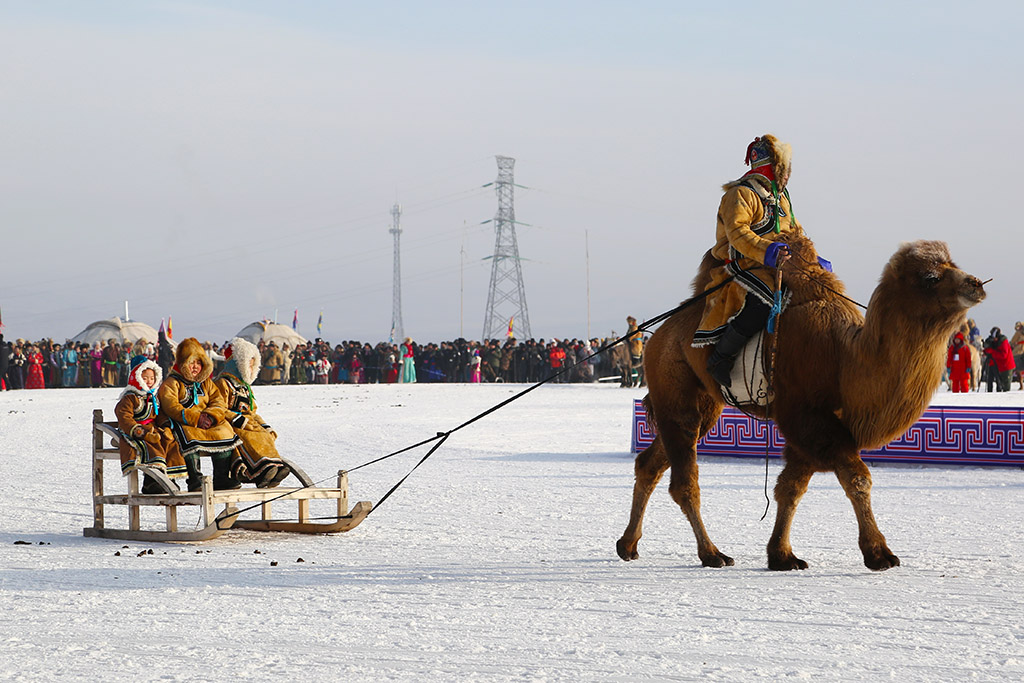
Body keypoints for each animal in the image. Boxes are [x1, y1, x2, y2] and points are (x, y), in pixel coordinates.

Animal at [610, 231, 987, 573]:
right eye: (930, 277)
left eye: (952, 264)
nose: (975, 283)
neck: (844, 359)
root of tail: (656, 337)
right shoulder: (809, 418)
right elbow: (857, 479)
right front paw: (880, 555)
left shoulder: (813, 427)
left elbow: (790, 488)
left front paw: (782, 556)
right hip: (676, 391)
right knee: (684, 482)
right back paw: (712, 554)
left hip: (700, 407)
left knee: (650, 463)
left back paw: (628, 545)